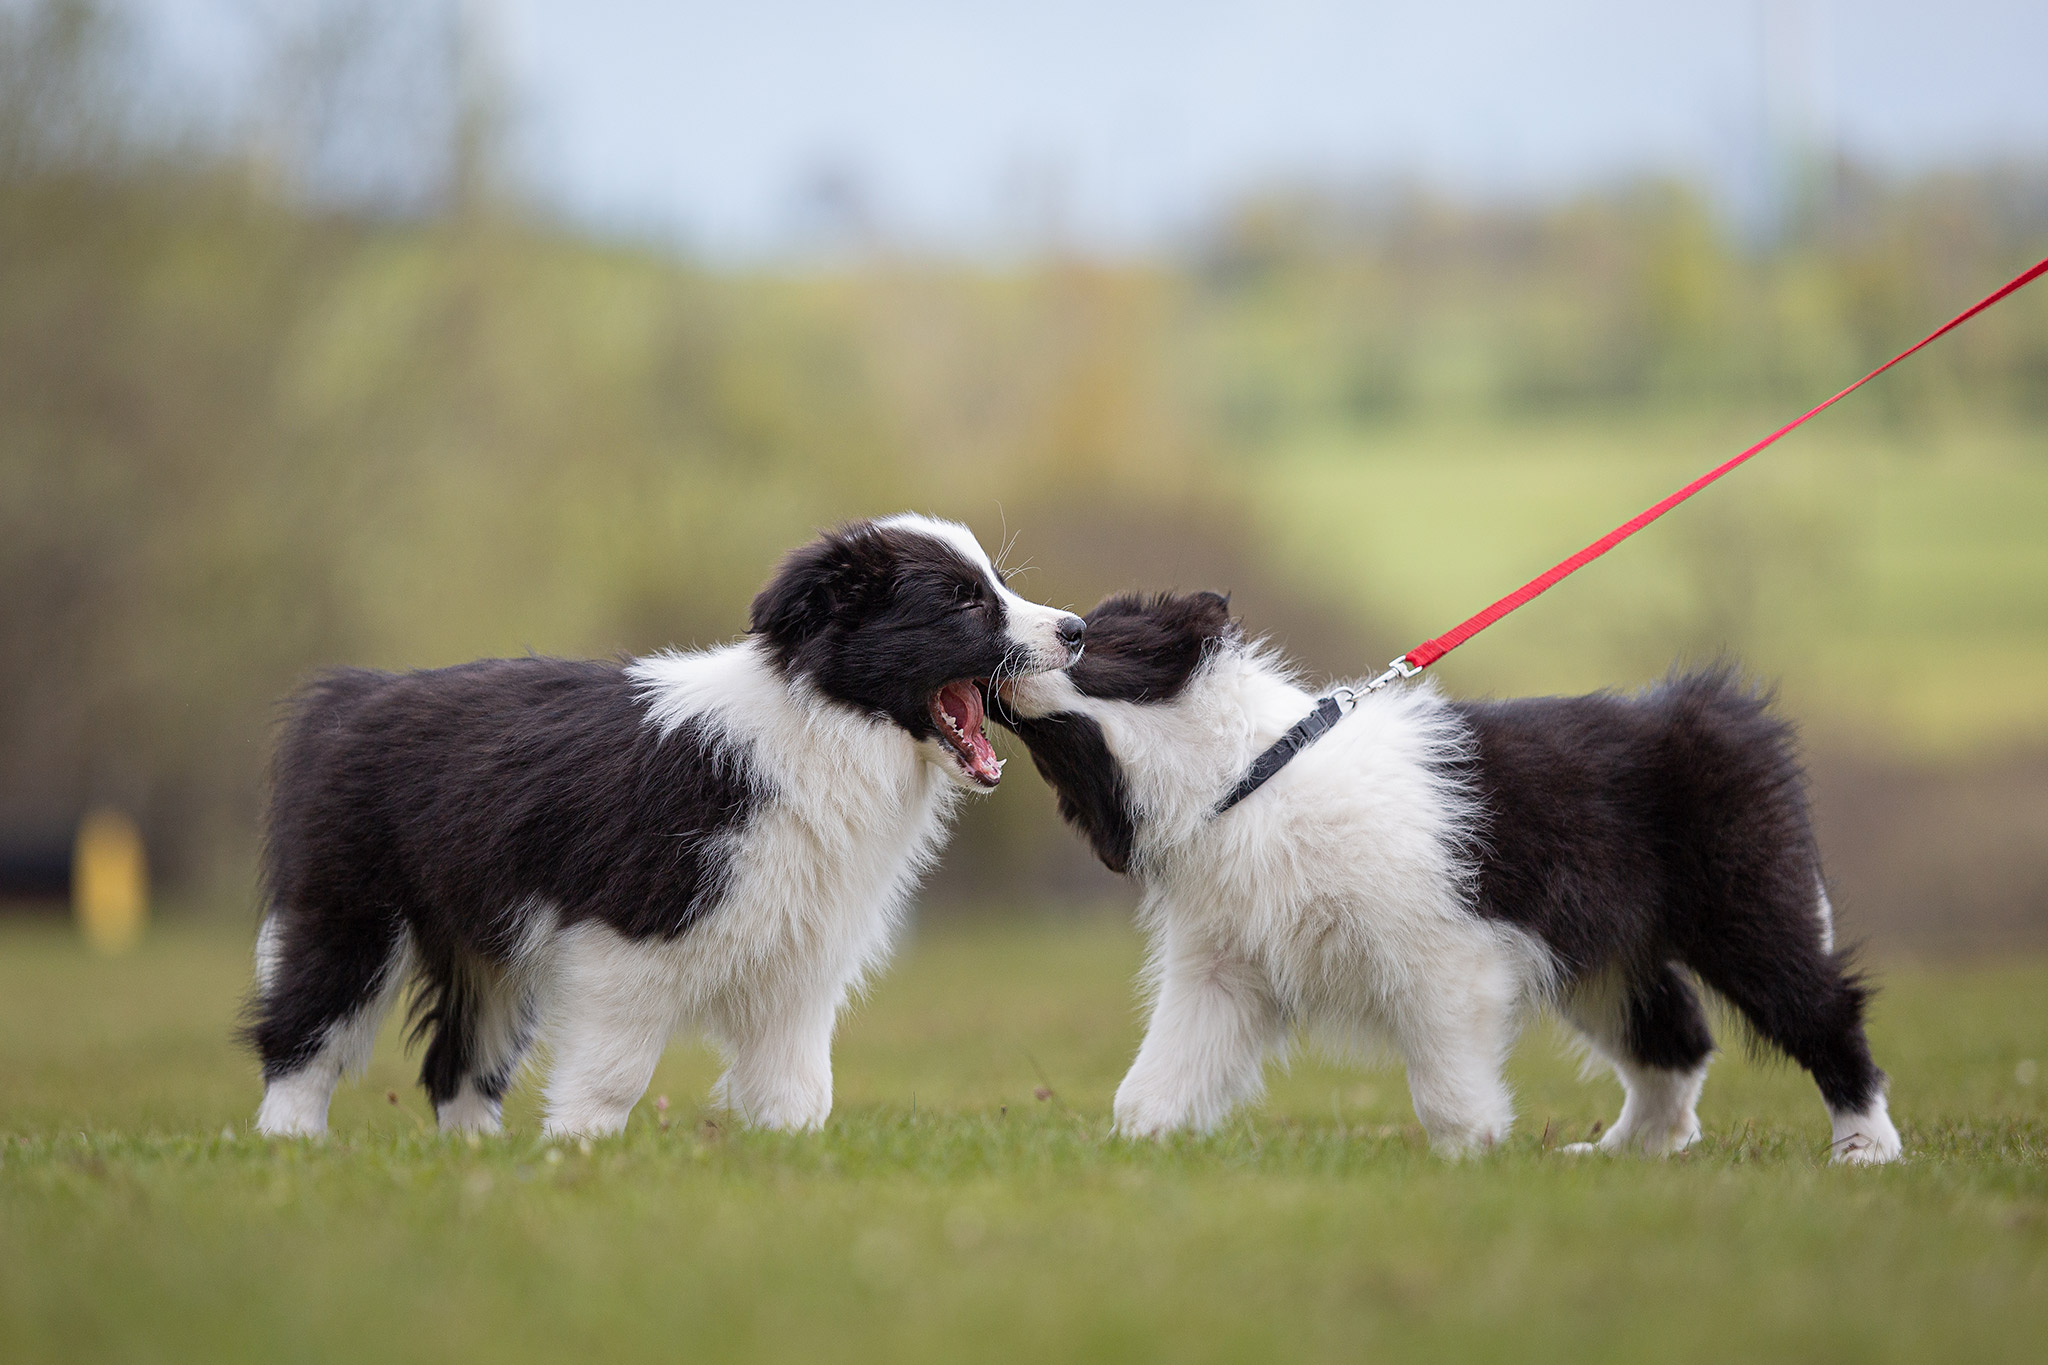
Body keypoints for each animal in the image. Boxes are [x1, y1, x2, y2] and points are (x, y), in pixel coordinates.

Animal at [245, 517, 1089, 1137]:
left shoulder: (800, 955)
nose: (1078, 628)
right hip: (349, 906)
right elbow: (613, 1070)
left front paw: (792, 1152)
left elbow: (797, 1079)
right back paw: (292, 1142)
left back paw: (473, 1154)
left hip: (488, 941)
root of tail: (350, 695)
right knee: (308, 1026)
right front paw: (580, 1152)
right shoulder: (625, 934)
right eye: (962, 601)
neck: (821, 724)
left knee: (462, 1057)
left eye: (999, 584)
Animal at [991, 593, 1900, 1170]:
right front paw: (1138, 1151)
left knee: (1821, 1008)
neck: (1251, 771)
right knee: (1674, 1039)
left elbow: (1445, 1087)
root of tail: (1721, 708)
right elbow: (1156, 1079)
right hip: (1604, 951)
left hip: (1750, 903)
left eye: (1085, 638)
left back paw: (1866, 1147)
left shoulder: (1446, 959)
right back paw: (1619, 1153)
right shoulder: (1224, 967)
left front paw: (1469, 1162)